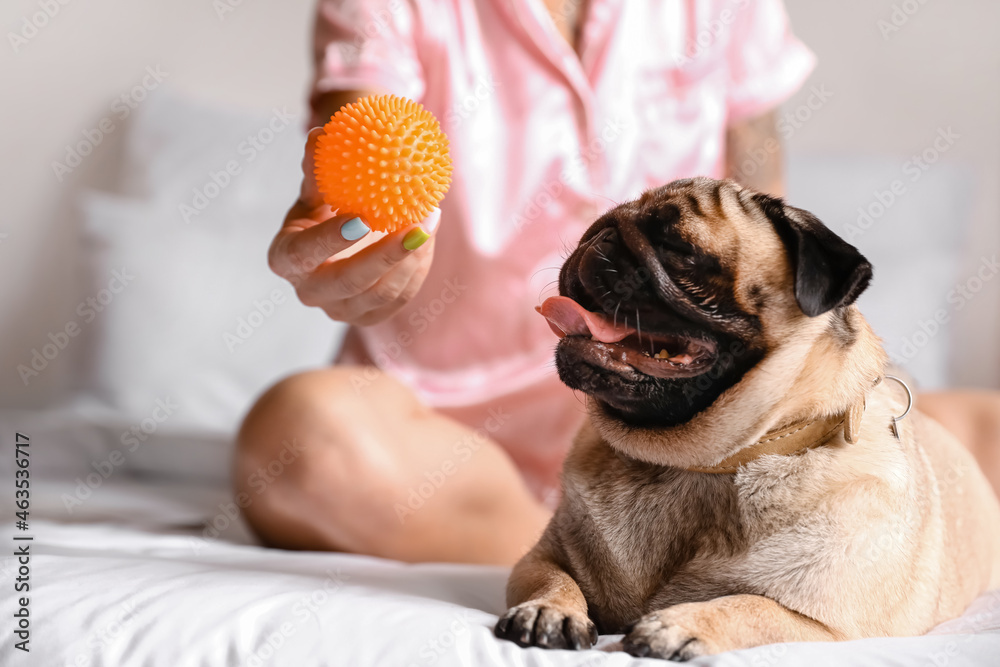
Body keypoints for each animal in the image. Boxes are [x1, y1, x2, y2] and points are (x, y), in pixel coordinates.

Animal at [492, 179, 1000, 664]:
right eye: (596, 227)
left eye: (680, 248)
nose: (600, 237)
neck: (695, 463)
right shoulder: (540, 557)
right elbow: (553, 579)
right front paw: (547, 611)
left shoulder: (827, 627)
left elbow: (751, 607)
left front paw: (680, 624)